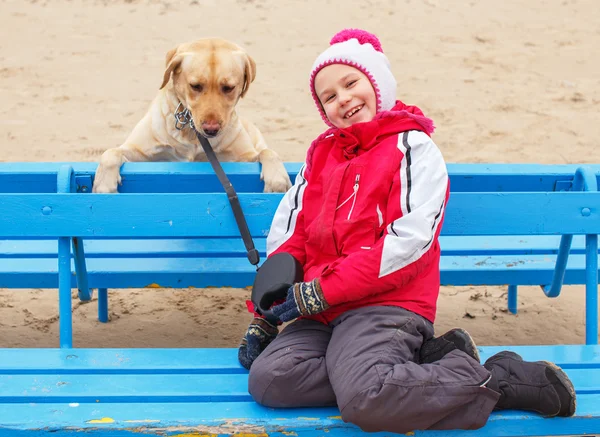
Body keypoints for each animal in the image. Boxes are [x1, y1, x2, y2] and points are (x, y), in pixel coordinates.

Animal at [91, 38, 292, 193]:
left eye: (229, 88)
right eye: (195, 86)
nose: (211, 129)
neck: (191, 131)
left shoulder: (243, 157)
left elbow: (268, 153)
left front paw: (277, 179)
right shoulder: (141, 154)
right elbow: (111, 152)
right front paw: (104, 183)